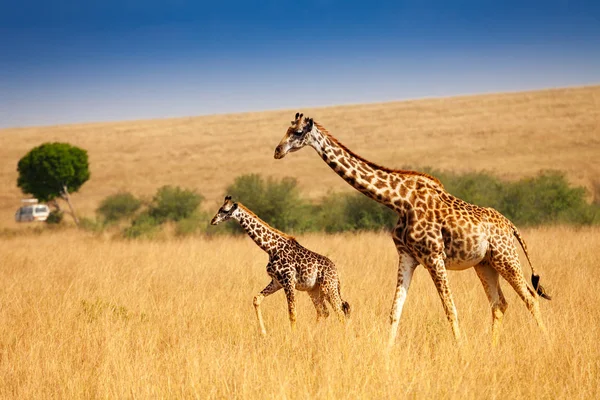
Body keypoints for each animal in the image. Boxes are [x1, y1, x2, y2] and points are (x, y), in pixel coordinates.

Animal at [212, 196, 350, 334]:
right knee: (324, 311)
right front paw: (263, 333)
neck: (271, 248)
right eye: (219, 209)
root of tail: (336, 272)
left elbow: (292, 313)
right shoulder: (276, 282)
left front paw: (292, 336)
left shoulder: (289, 281)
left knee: (340, 311)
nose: (213, 221)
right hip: (314, 290)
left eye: (224, 210)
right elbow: (257, 299)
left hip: (328, 287)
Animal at [274, 112, 552, 346]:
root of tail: (510, 225)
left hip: (506, 257)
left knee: (530, 297)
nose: (277, 150)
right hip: (484, 263)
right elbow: (395, 311)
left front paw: (461, 351)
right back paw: (493, 347)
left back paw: (546, 342)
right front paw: (387, 355)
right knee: (499, 303)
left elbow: (450, 309)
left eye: (298, 132)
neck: (399, 201)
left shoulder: (434, 257)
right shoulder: (407, 256)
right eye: (286, 129)